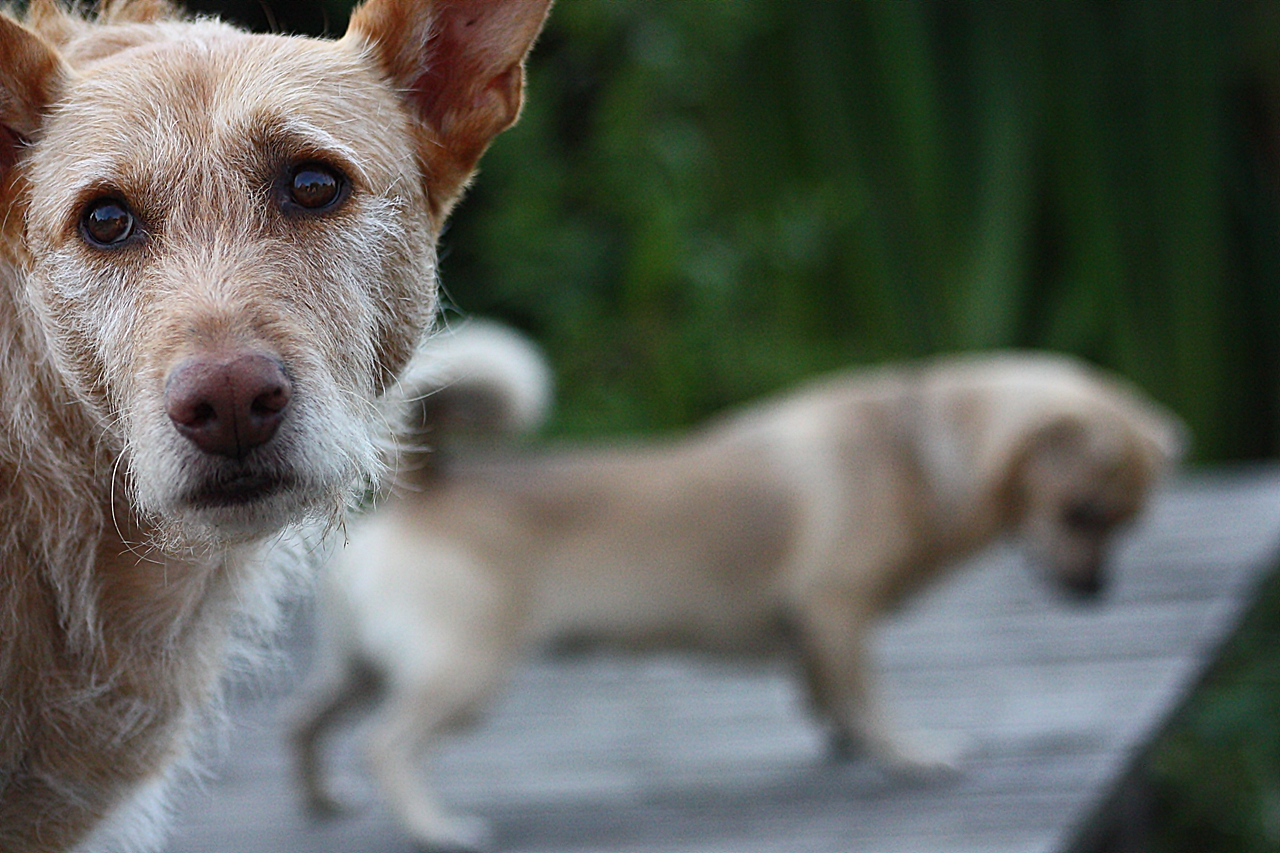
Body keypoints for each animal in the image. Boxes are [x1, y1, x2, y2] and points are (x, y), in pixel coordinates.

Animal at [290, 320, 1177, 850]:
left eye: (1127, 524)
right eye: (1082, 512)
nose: (1097, 590)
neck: (919, 449)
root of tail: (428, 488)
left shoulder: (814, 631)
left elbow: (828, 693)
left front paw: (845, 740)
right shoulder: (838, 611)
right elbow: (873, 700)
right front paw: (907, 755)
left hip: (356, 668)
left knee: (306, 724)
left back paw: (324, 802)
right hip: (462, 675)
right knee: (385, 743)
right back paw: (435, 826)